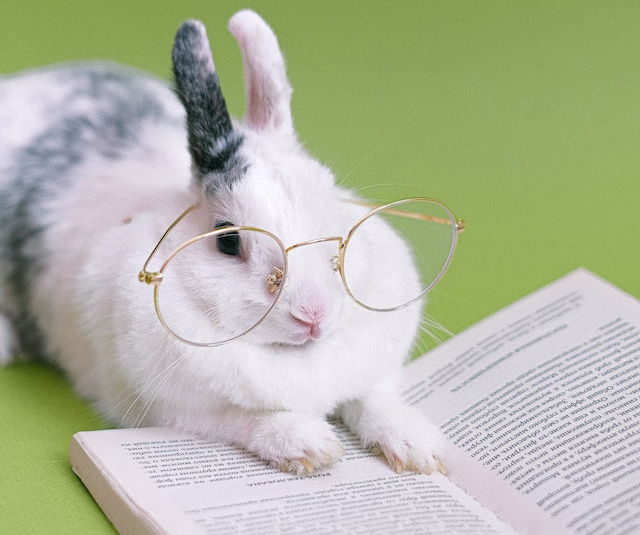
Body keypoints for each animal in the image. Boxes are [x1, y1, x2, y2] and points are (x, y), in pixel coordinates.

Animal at [0, 10, 444, 476]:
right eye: (228, 241)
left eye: (332, 203)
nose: (313, 314)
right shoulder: (175, 409)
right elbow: (247, 419)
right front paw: (310, 447)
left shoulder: (371, 374)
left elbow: (375, 400)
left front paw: (421, 449)